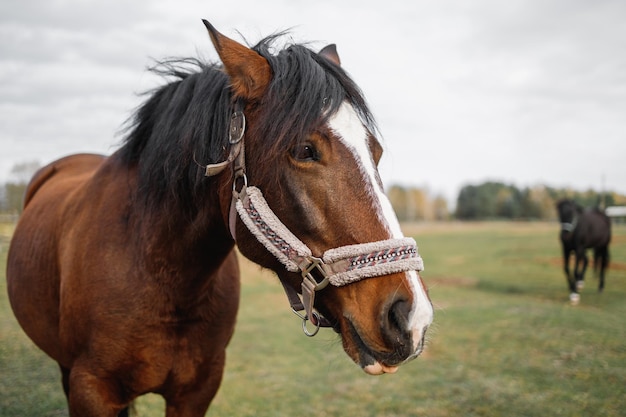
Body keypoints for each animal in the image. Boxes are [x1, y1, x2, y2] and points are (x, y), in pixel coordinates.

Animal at [6, 19, 434, 416]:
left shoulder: (198, 390)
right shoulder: (91, 389)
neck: (161, 277)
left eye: (375, 151)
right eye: (304, 149)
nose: (411, 318)